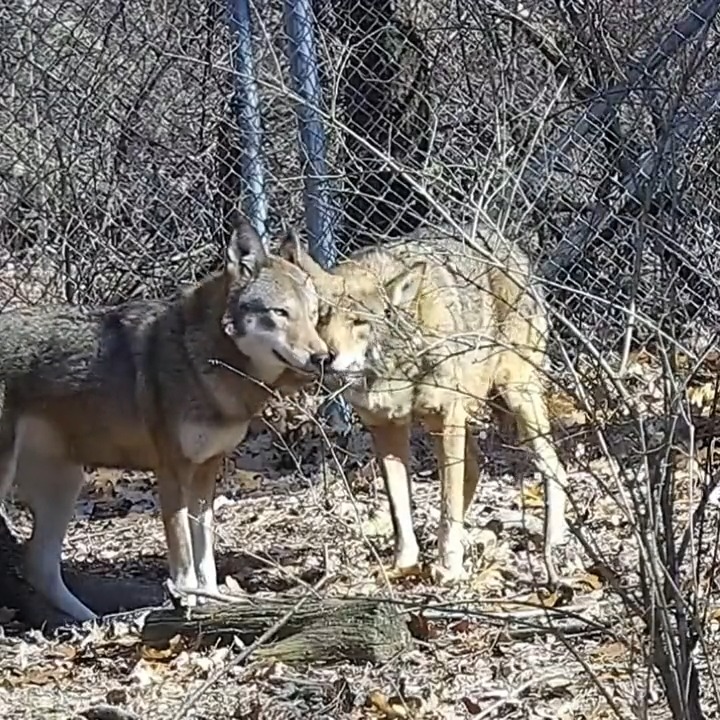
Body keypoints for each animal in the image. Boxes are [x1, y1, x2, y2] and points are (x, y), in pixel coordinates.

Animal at [0, 215, 330, 622]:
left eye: (314, 315)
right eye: (281, 313)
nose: (323, 357)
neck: (203, 360)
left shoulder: (207, 470)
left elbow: (205, 552)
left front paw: (211, 600)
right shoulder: (172, 470)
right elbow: (183, 549)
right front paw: (186, 599)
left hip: (65, 484)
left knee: (39, 566)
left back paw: (91, 623)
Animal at [280, 223, 568, 585]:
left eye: (359, 322)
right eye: (320, 317)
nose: (326, 357)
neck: (388, 370)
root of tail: (512, 249)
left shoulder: (446, 418)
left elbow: (447, 500)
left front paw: (450, 566)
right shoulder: (385, 429)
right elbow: (400, 507)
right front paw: (404, 563)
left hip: (515, 399)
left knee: (554, 467)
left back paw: (552, 541)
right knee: (475, 468)